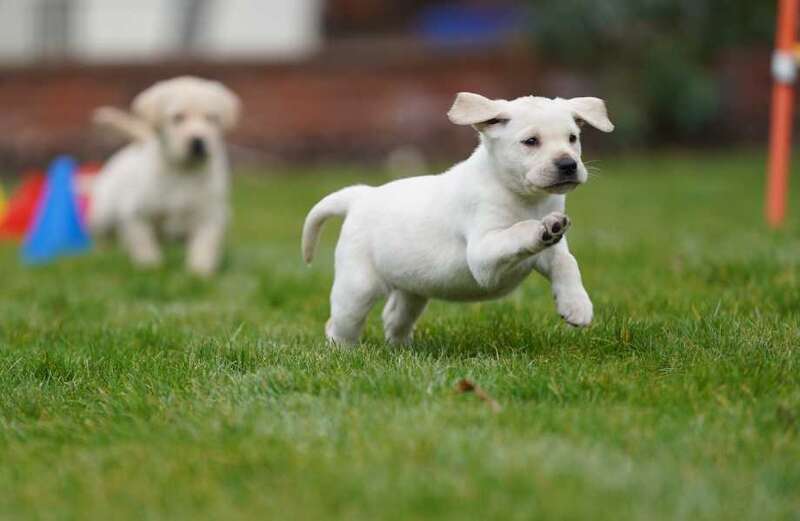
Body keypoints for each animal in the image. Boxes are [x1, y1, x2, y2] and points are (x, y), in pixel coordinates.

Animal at [89, 75, 241, 276]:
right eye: (177, 117)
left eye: (212, 118)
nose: (198, 141)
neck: (183, 171)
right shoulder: (136, 214)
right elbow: (144, 243)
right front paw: (150, 267)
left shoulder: (211, 215)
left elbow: (204, 245)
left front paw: (199, 272)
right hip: (103, 213)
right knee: (103, 237)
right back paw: (100, 255)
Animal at [304, 91, 616, 344]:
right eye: (530, 141)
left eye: (572, 138)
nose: (568, 164)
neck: (524, 196)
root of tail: (362, 195)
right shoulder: (482, 256)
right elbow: (518, 230)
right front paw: (539, 229)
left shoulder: (552, 252)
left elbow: (567, 263)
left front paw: (576, 305)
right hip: (357, 289)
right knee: (339, 325)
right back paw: (344, 352)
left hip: (413, 288)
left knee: (394, 318)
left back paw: (404, 351)